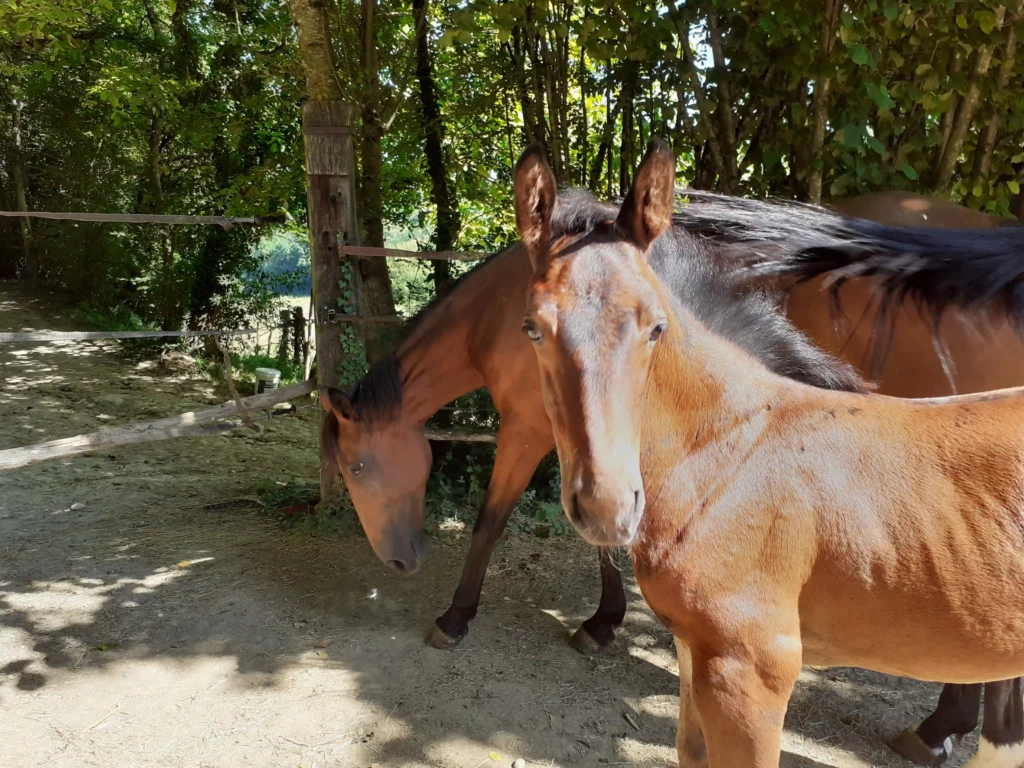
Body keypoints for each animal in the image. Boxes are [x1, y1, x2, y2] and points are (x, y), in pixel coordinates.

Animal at [512, 137, 1024, 768]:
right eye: (533, 328)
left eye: (656, 327)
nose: (608, 507)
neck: (731, 457)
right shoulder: (694, 651)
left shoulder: (752, 672)